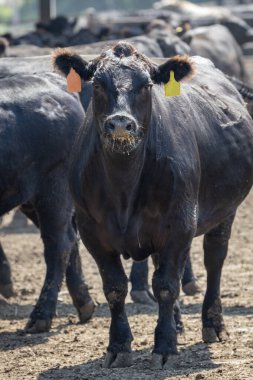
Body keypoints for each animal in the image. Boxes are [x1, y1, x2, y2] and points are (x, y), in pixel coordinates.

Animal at [0, 72, 94, 332]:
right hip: (31, 197)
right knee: (70, 240)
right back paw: (85, 305)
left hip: (53, 188)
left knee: (58, 245)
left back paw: (41, 316)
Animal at [53, 43, 253, 370]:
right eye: (97, 84)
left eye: (146, 86)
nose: (121, 123)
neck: (123, 184)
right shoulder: (92, 231)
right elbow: (115, 287)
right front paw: (118, 346)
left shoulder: (179, 224)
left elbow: (166, 285)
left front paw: (165, 347)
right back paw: (178, 323)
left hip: (224, 211)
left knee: (214, 259)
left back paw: (212, 324)